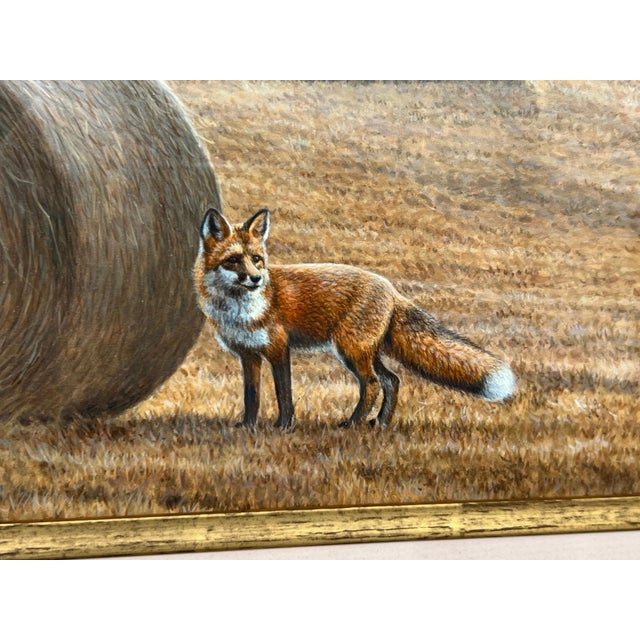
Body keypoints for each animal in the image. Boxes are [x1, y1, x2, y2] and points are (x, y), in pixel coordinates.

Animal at [193, 207, 516, 430]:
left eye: (257, 259)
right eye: (234, 260)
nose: (257, 279)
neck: (240, 310)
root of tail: (391, 289)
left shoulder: (278, 349)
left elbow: (284, 393)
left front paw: (284, 426)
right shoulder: (248, 354)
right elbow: (251, 395)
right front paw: (247, 426)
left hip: (351, 350)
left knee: (372, 384)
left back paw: (353, 423)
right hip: (364, 352)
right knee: (392, 380)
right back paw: (380, 423)